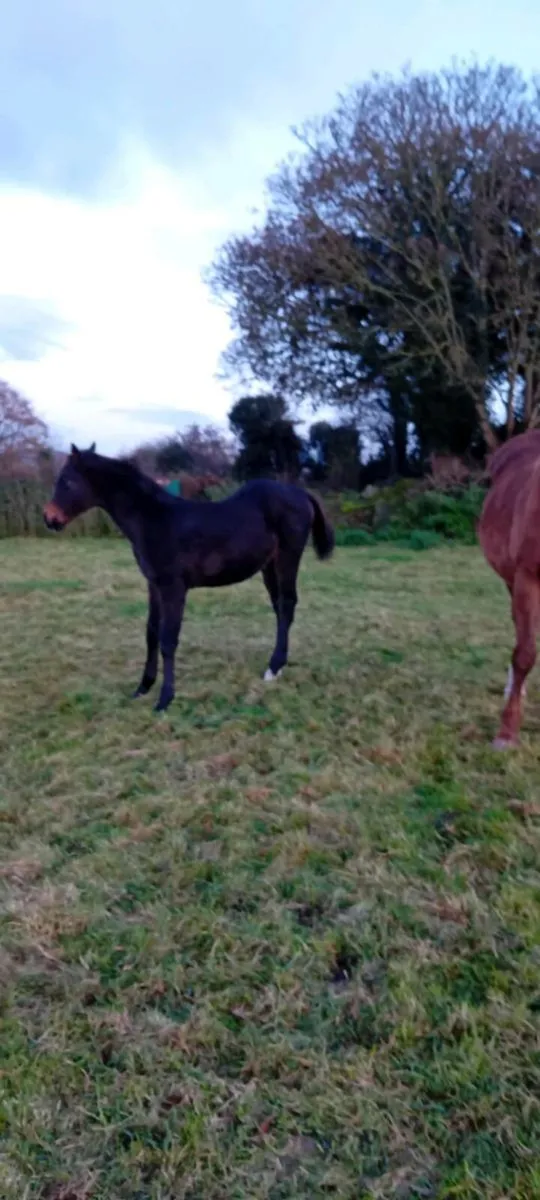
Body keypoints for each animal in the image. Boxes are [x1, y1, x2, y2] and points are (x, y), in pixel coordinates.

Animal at [44, 444, 335, 712]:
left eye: (67, 481)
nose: (50, 518)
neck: (154, 519)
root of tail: (300, 493)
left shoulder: (174, 587)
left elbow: (168, 639)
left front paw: (164, 700)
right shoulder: (154, 584)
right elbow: (151, 632)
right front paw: (143, 687)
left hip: (287, 558)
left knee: (287, 604)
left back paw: (273, 667)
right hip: (269, 566)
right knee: (281, 608)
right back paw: (277, 666)